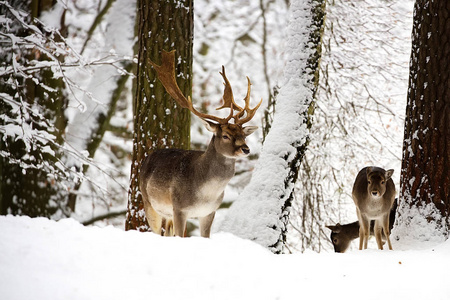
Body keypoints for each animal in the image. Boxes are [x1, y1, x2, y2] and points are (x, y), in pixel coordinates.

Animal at [139, 49, 262, 237]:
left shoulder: (209, 212)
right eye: (225, 135)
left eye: (243, 135)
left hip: (166, 213)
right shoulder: (179, 208)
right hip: (149, 203)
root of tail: (146, 158)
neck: (206, 194)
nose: (246, 149)